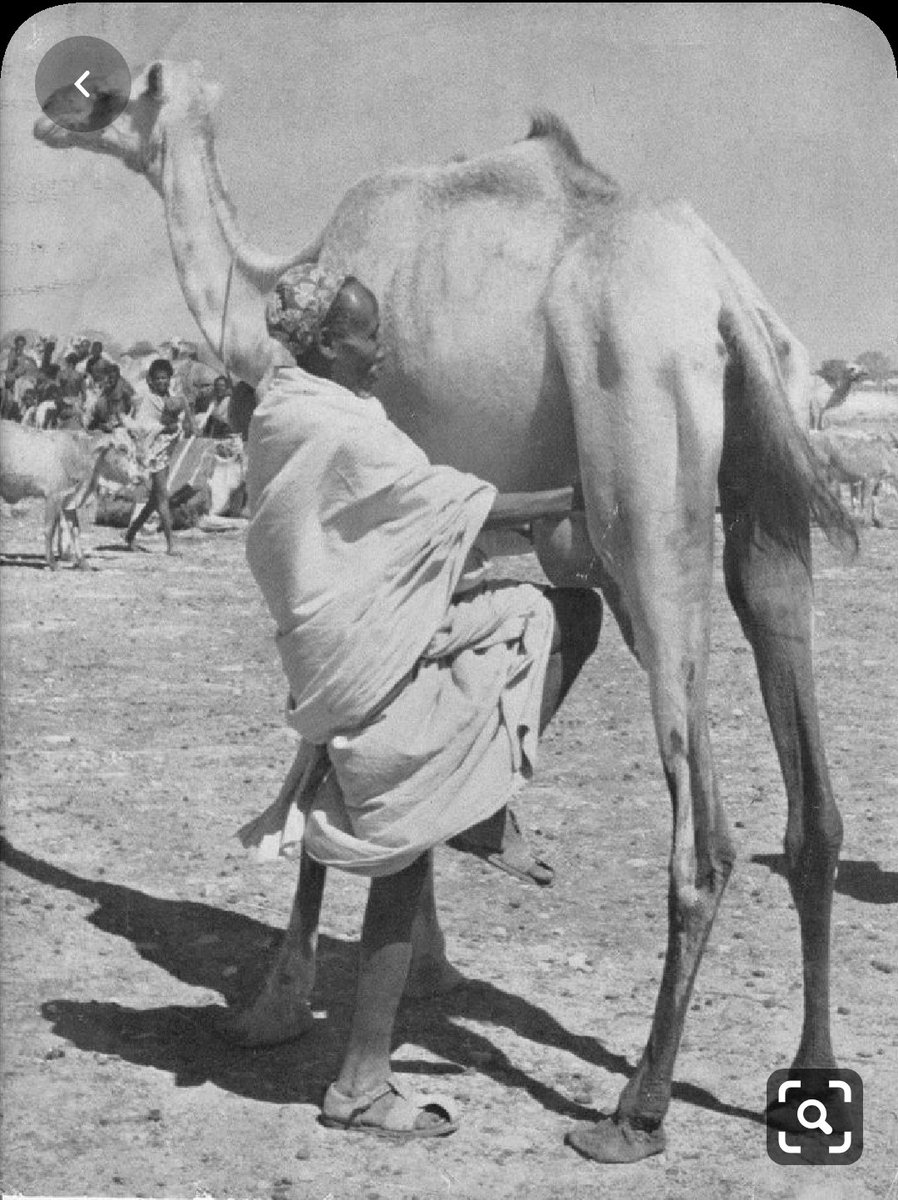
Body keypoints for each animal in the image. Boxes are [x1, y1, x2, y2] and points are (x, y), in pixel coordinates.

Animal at [34, 61, 857, 1162]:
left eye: (109, 93)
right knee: (810, 798)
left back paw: (633, 1111)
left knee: (706, 836)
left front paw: (275, 1005)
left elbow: (328, 738)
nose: (49, 118)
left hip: (646, 475)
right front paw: (435, 946)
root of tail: (724, 299)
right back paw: (810, 1077)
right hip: (769, 484)